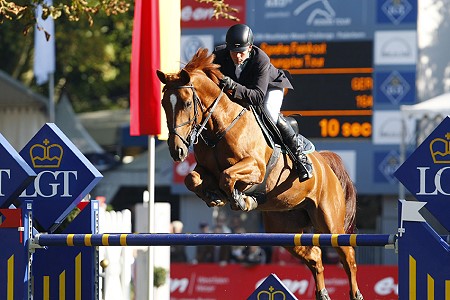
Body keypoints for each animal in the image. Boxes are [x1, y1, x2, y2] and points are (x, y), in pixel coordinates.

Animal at [156, 48, 364, 300]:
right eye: (164, 103)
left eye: (187, 103)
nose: (177, 151)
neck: (220, 126)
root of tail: (325, 163)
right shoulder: (205, 170)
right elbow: (192, 179)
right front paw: (215, 197)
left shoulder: (255, 167)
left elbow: (228, 177)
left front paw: (241, 199)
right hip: (284, 228)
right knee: (314, 255)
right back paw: (322, 293)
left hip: (330, 221)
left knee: (347, 256)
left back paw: (355, 294)